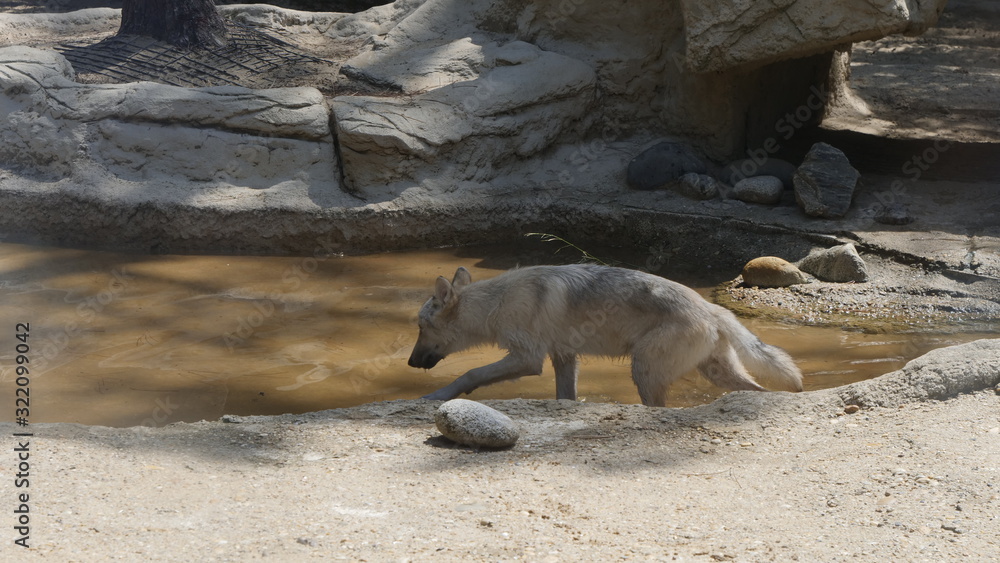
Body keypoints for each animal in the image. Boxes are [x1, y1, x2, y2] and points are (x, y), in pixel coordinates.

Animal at [408, 264, 803, 407]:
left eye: (420, 328)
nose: (410, 363)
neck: (497, 302)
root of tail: (712, 308)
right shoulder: (563, 358)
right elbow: (565, 397)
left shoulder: (528, 359)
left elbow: (470, 374)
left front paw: (436, 396)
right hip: (717, 373)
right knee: (761, 390)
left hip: (642, 371)